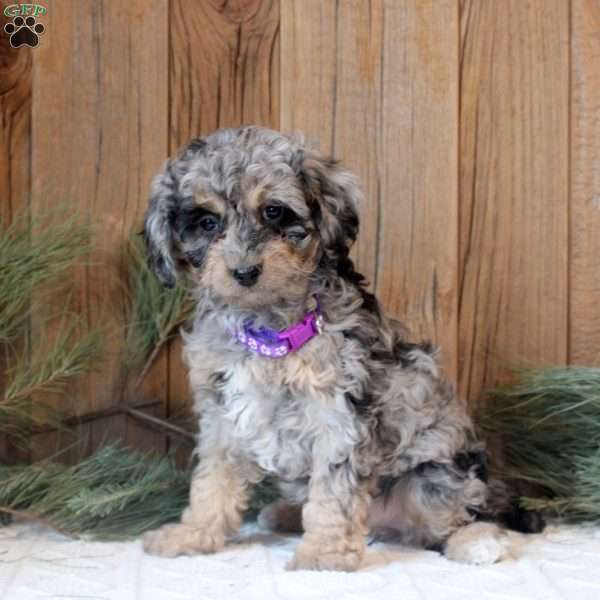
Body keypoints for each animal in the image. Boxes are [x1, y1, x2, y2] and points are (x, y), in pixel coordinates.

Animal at [142, 127, 544, 572]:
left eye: (274, 212)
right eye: (207, 222)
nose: (244, 272)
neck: (268, 331)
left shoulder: (338, 413)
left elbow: (333, 494)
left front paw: (324, 553)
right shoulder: (221, 413)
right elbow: (212, 481)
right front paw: (192, 534)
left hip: (433, 478)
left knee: (460, 512)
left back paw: (476, 541)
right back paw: (284, 514)